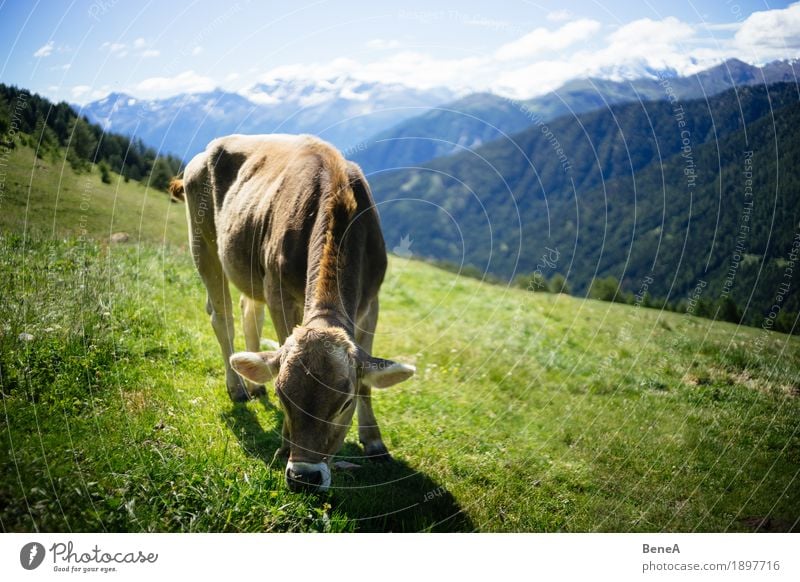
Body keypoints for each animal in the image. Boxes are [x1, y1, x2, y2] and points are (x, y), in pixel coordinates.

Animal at [173, 133, 416, 492]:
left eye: (344, 403)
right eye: (283, 396)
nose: (304, 477)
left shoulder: (371, 302)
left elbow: (368, 383)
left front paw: (374, 442)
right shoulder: (279, 293)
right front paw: (284, 443)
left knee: (249, 311)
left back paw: (253, 383)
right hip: (202, 242)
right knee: (222, 318)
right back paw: (238, 387)